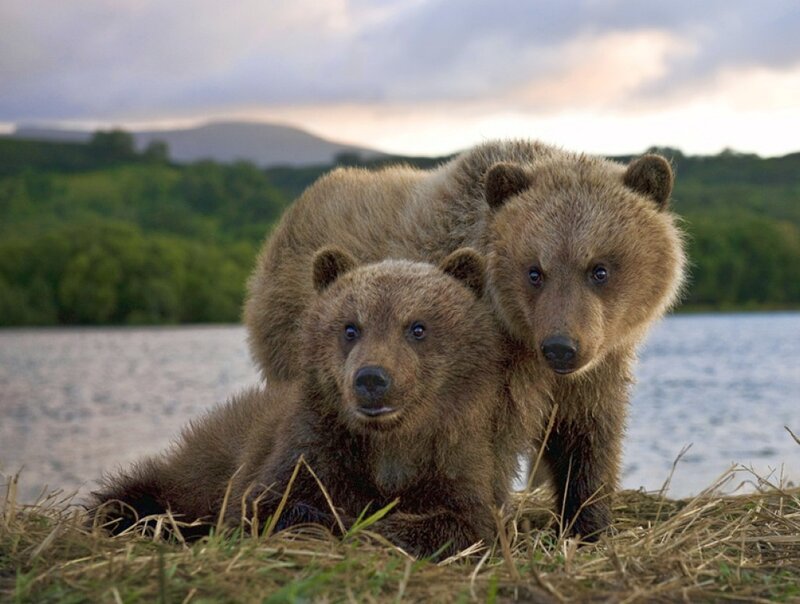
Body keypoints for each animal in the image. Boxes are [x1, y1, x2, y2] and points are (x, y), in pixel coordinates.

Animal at [90, 248, 520, 557]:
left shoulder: (456, 456)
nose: (372, 378)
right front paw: (341, 522)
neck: (388, 443)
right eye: (350, 327)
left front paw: (381, 528)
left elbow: (469, 522)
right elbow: (266, 505)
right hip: (193, 474)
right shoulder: (310, 446)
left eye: (417, 327)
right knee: (135, 493)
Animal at [244, 139, 686, 540]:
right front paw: (493, 523)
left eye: (599, 269)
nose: (561, 347)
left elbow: (589, 436)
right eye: (534, 271)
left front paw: (588, 524)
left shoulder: (597, 365)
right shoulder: (487, 370)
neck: (520, 336)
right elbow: (488, 450)